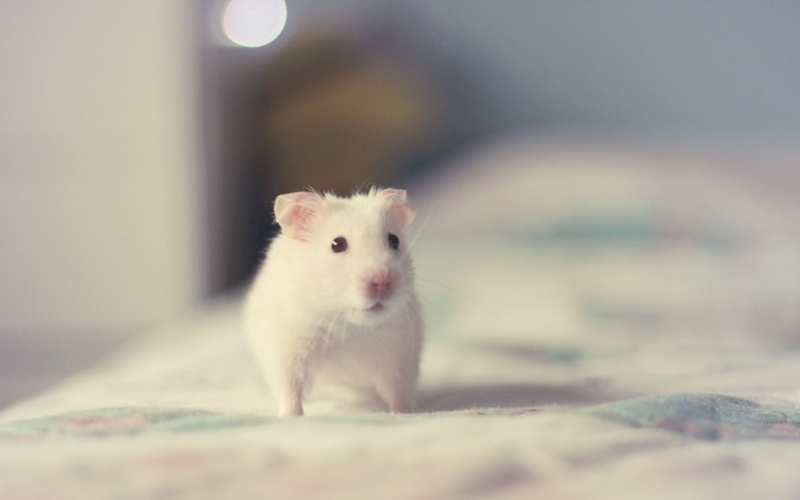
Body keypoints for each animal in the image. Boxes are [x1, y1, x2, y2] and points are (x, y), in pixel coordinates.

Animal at [244, 188, 423, 417]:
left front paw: (403, 413)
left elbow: (398, 391)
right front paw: (291, 417)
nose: (382, 281)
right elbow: (290, 390)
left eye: (394, 240)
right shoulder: (286, 351)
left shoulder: (400, 356)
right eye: (337, 244)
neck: (348, 325)